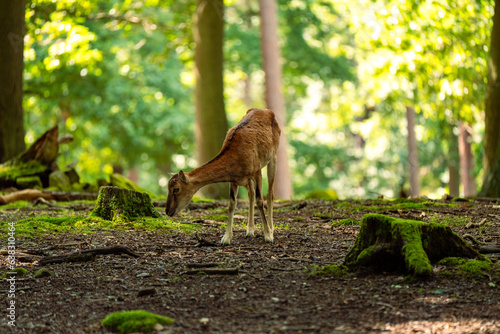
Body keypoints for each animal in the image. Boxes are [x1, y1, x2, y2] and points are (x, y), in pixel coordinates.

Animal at [165, 108, 280, 244]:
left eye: (176, 189)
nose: (167, 211)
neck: (237, 158)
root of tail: (267, 110)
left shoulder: (257, 170)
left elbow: (260, 200)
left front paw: (268, 236)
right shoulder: (234, 179)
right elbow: (231, 203)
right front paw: (226, 238)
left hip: (273, 155)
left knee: (270, 194)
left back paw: (271, 229)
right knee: (250, 194)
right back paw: (249, 231)